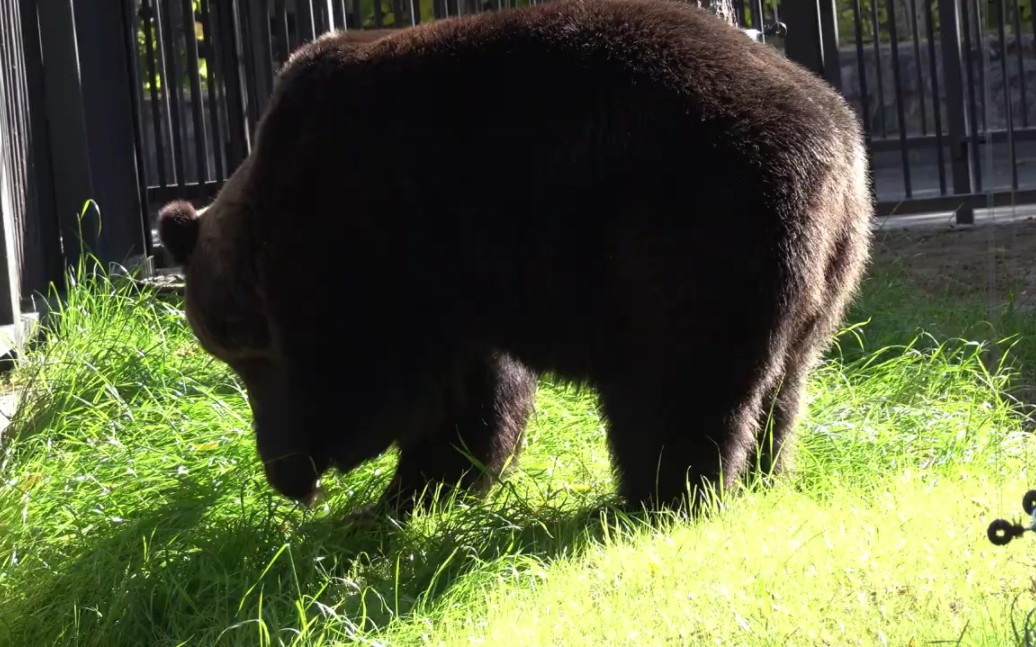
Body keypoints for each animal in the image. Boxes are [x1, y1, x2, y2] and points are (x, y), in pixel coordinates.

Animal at [157, 0, 874, 517]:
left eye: (244, 354)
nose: (281, 471)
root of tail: (833, 135)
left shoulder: (372, 230)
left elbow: (372, 374)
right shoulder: (459, 281)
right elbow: (474, 401)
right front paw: (414, 493)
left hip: (686, 225)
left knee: (678, 379)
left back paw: (659, 494)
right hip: (830, 263)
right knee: (786, 378)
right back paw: (759, 472)